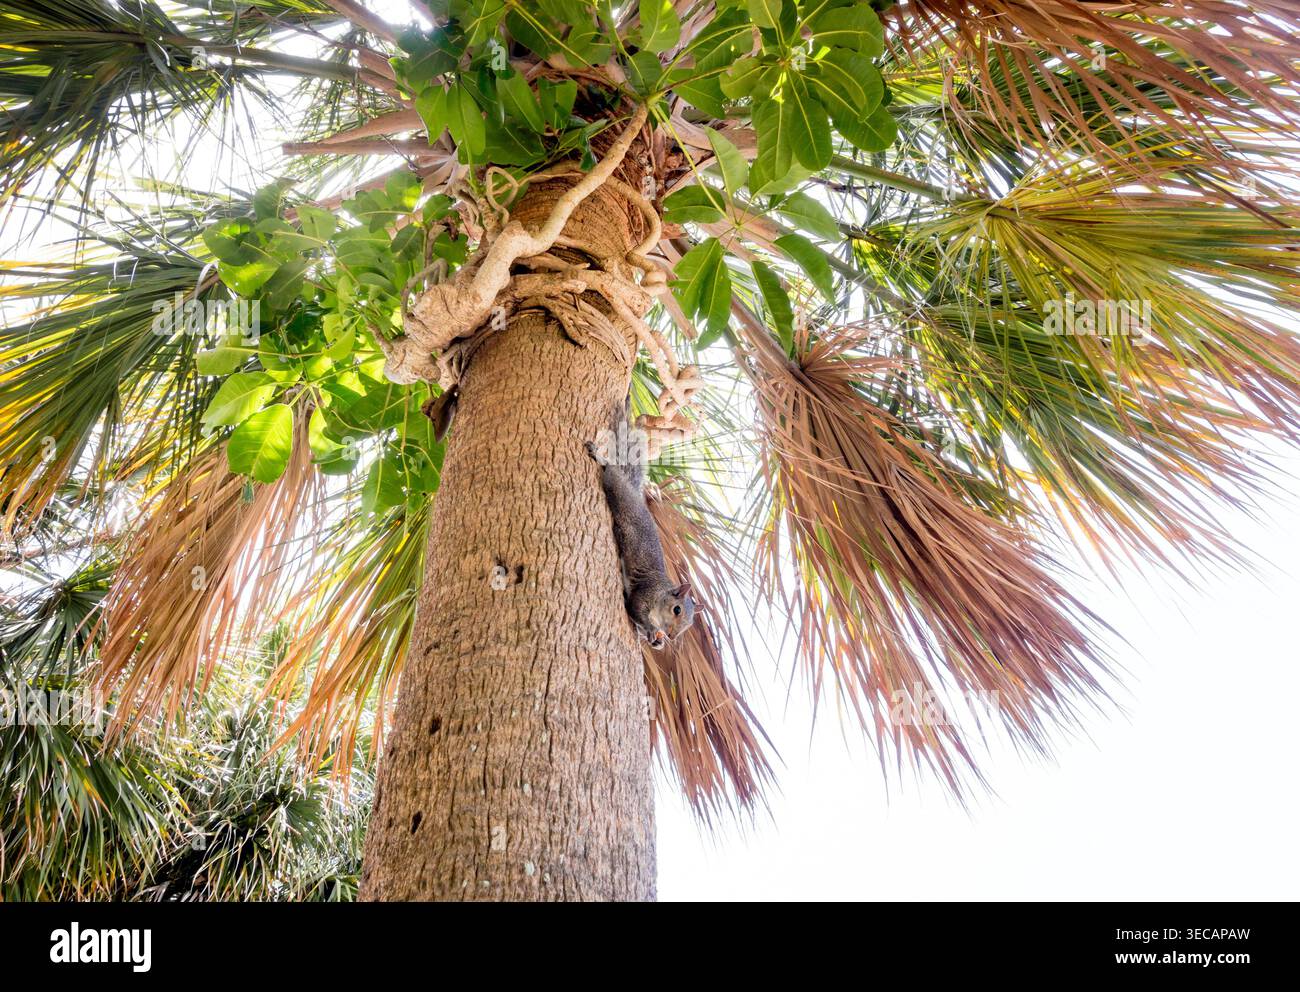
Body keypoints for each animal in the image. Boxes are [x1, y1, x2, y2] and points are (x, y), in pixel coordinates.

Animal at [587, 397, 695, 650]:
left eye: (689, 625)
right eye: (677, 610)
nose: (672, 636)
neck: (662, 592)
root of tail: (636, 496)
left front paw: (656, 641)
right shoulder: (645, 593)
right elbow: (635, 609)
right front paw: (652, 631)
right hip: (618, 492)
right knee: (611, 473)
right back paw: (600, 457)